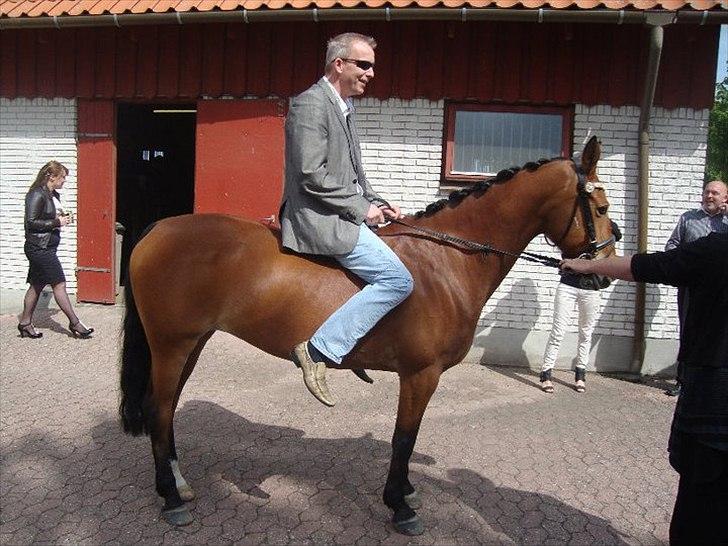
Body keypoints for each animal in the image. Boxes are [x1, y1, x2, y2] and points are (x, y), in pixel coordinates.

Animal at [119, 136, 616, 535]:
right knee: (158, 409)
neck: (446, 260)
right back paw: (171, 499)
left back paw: (179, 484)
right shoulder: (421, 374)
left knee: (166, 409)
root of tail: (158, 228)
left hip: (191, 344)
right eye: (602, 208)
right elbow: (404, 438)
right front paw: (400, 507)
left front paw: (408, 493)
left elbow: (407, 439)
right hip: (173, 344)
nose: (601, 276)